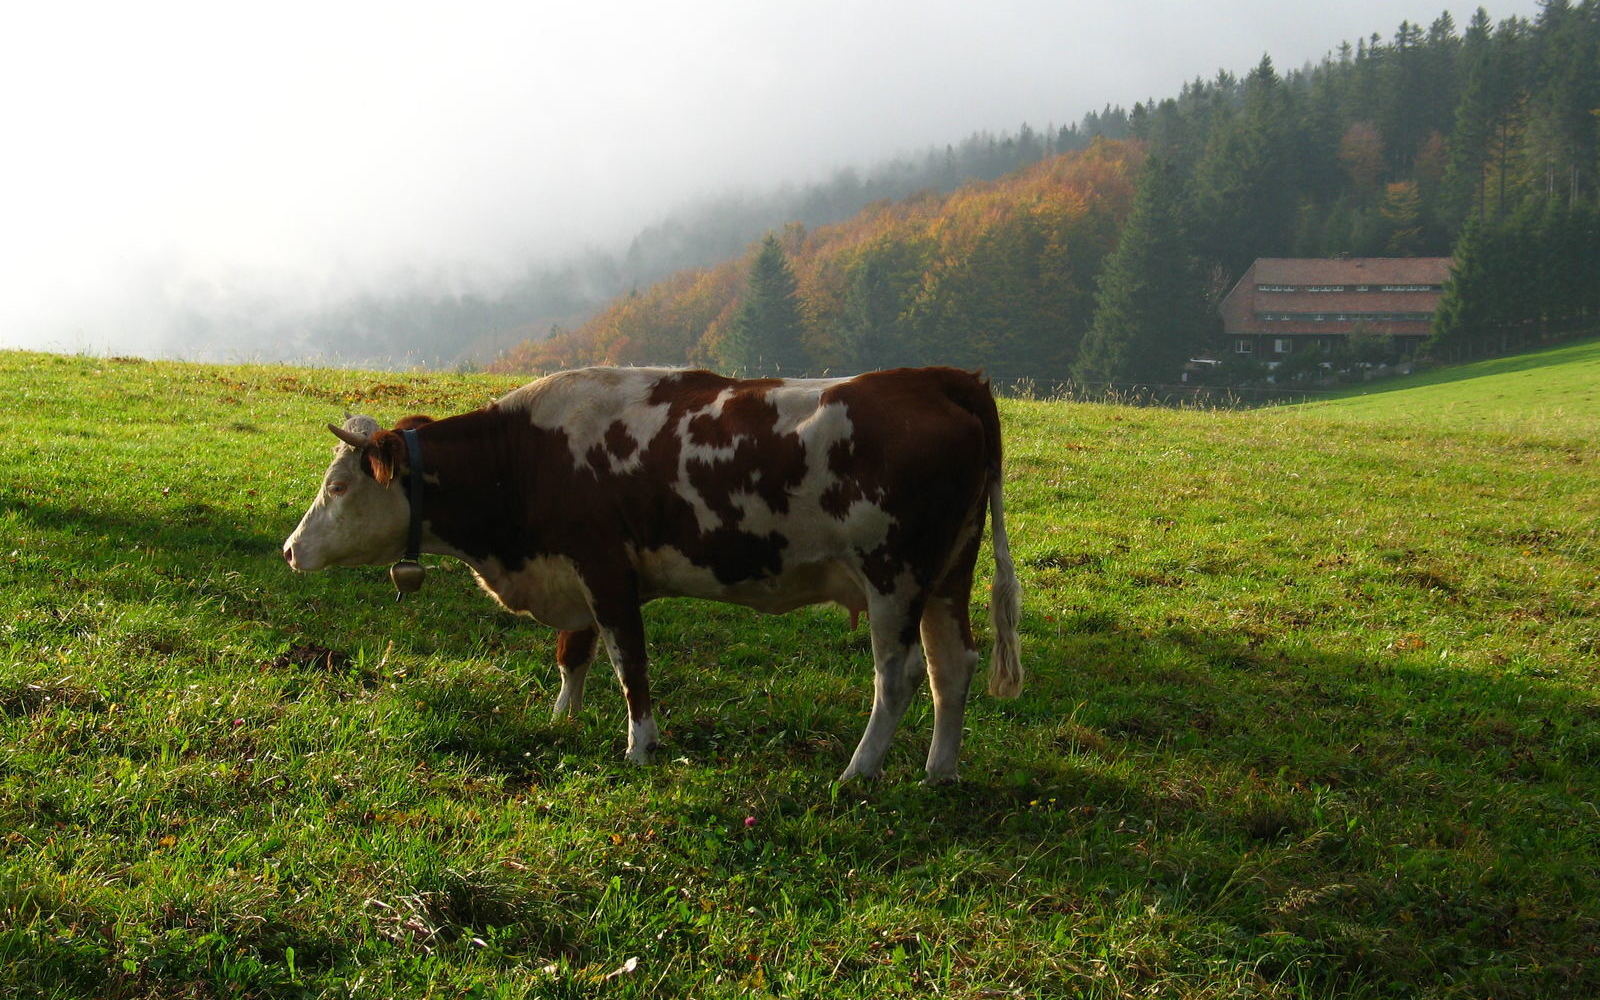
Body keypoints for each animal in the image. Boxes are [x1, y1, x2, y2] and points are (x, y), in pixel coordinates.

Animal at [281, 366, 1017, 780]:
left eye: (339, 485)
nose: (291, 550)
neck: (525, 456)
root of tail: (940, 377)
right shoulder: (571, 571)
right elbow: (572, 653)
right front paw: (562, 722)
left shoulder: (604, 564)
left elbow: (625, 659)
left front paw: (640, 745)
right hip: (947, 574)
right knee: (952, 665)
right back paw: (940, 772)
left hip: (894, 575)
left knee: (897, 677)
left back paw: (858, 772)